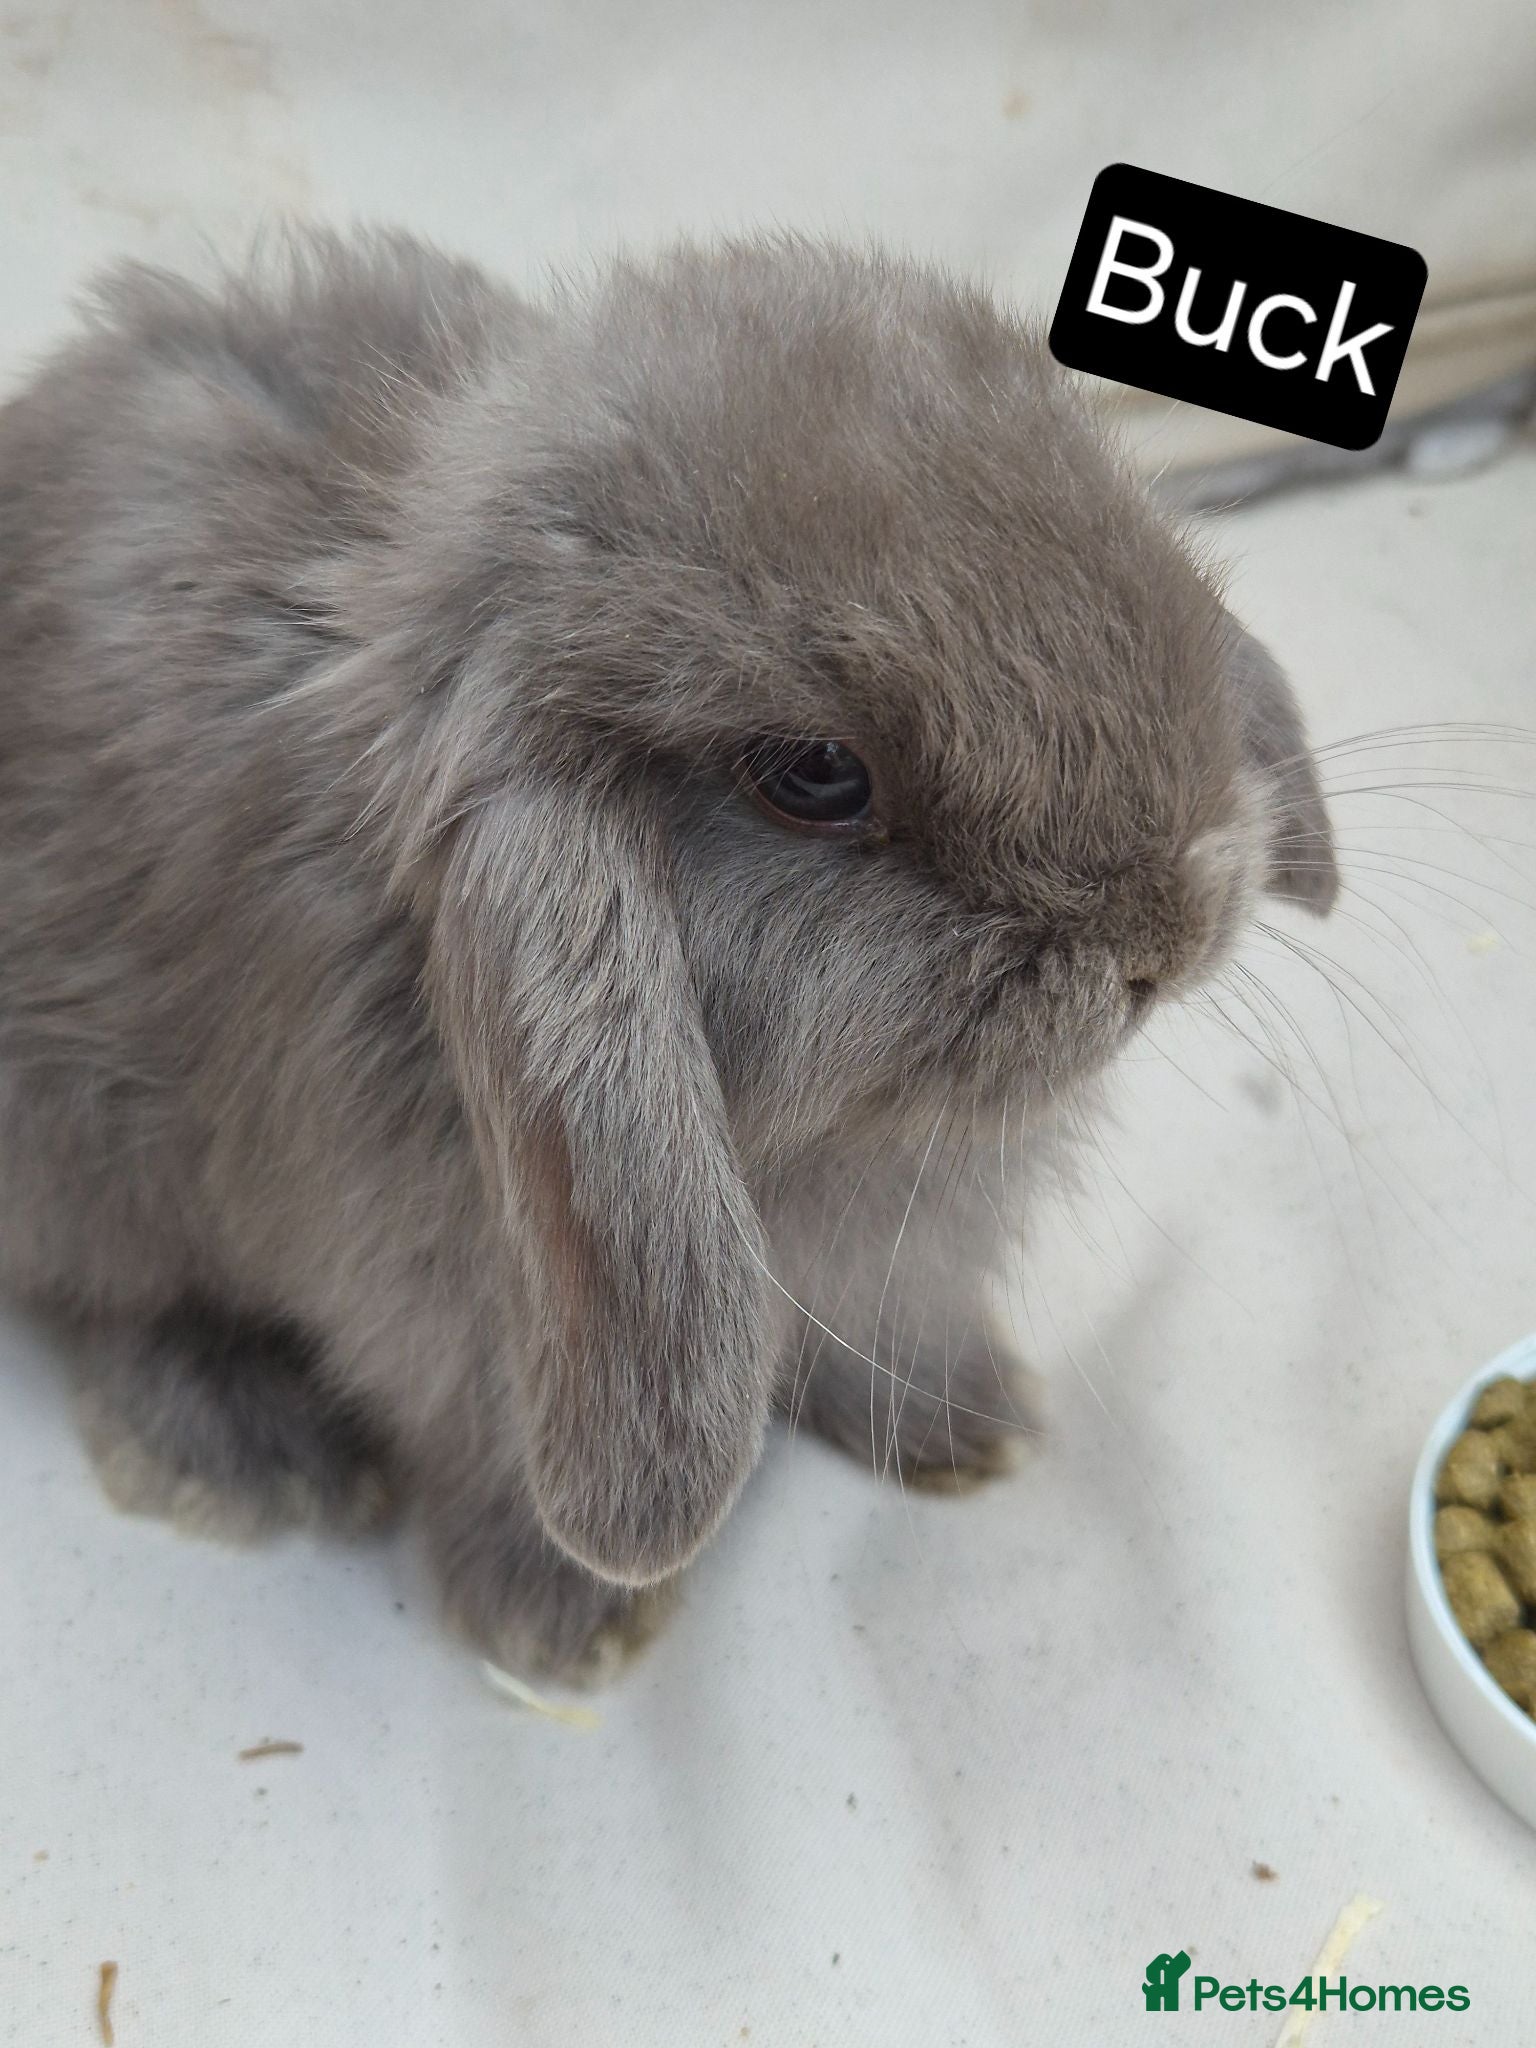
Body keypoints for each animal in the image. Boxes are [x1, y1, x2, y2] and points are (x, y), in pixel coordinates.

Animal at [0, 229, 1337, 1683]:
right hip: (84, 1151)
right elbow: (489, 1448)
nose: (1170, 932)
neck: (806, 1148)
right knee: (111, 1301)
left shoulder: (886, 1273)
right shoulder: (460, 1316)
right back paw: (249, 1451)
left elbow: (889, 1333)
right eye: (816, 774)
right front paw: (566, 1630)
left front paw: (974, 1427)